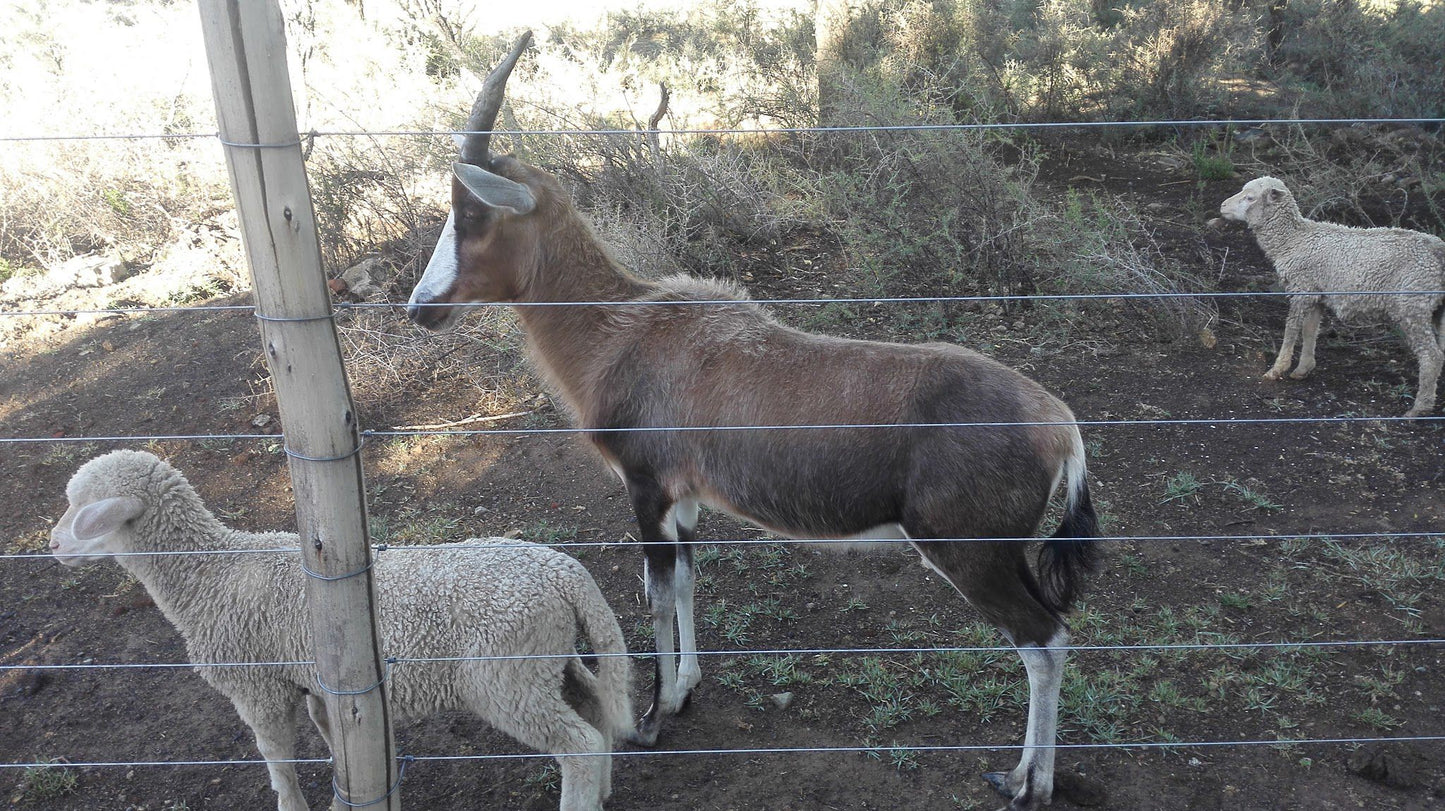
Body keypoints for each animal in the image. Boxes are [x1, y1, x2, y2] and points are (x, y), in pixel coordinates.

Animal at [49, 448, 632, 809]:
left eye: (81, 510)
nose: (52, 546)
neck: (212, 574)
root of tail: (563, 571)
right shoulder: (314, 681)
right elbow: (331, 738)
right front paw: (346, 793)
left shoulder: (257, 687)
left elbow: (277, 758)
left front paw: (293, 804)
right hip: (546, 657)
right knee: (595, 709)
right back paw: (604, 792)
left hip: (505, 675)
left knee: (578, 744)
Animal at [410, 33, 1103, 809]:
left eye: (471, 214)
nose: (419, 308)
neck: (631, 326)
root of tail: (1058, 423)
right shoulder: (683, 501)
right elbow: (686, 582)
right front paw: (685, 688)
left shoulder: (646, 490)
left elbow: (655, 593)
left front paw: (653, 719)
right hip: (1004, 554)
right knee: (1051, 632)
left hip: (969, 554)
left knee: (1044, 638)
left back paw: (1027, 782)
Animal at [1219, 177, 1445, 416]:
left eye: (1250, 197)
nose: (1222, 206)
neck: (1292, 240)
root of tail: (1437, 250)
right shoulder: (1316, 293)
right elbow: (1310, 330)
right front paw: (1303, 369)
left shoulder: (1302, 288)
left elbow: (1291, 329)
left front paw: (1277, 369)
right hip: (1437, 307)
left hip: (1413, 302)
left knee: (1432, 355)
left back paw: (1419, 407)